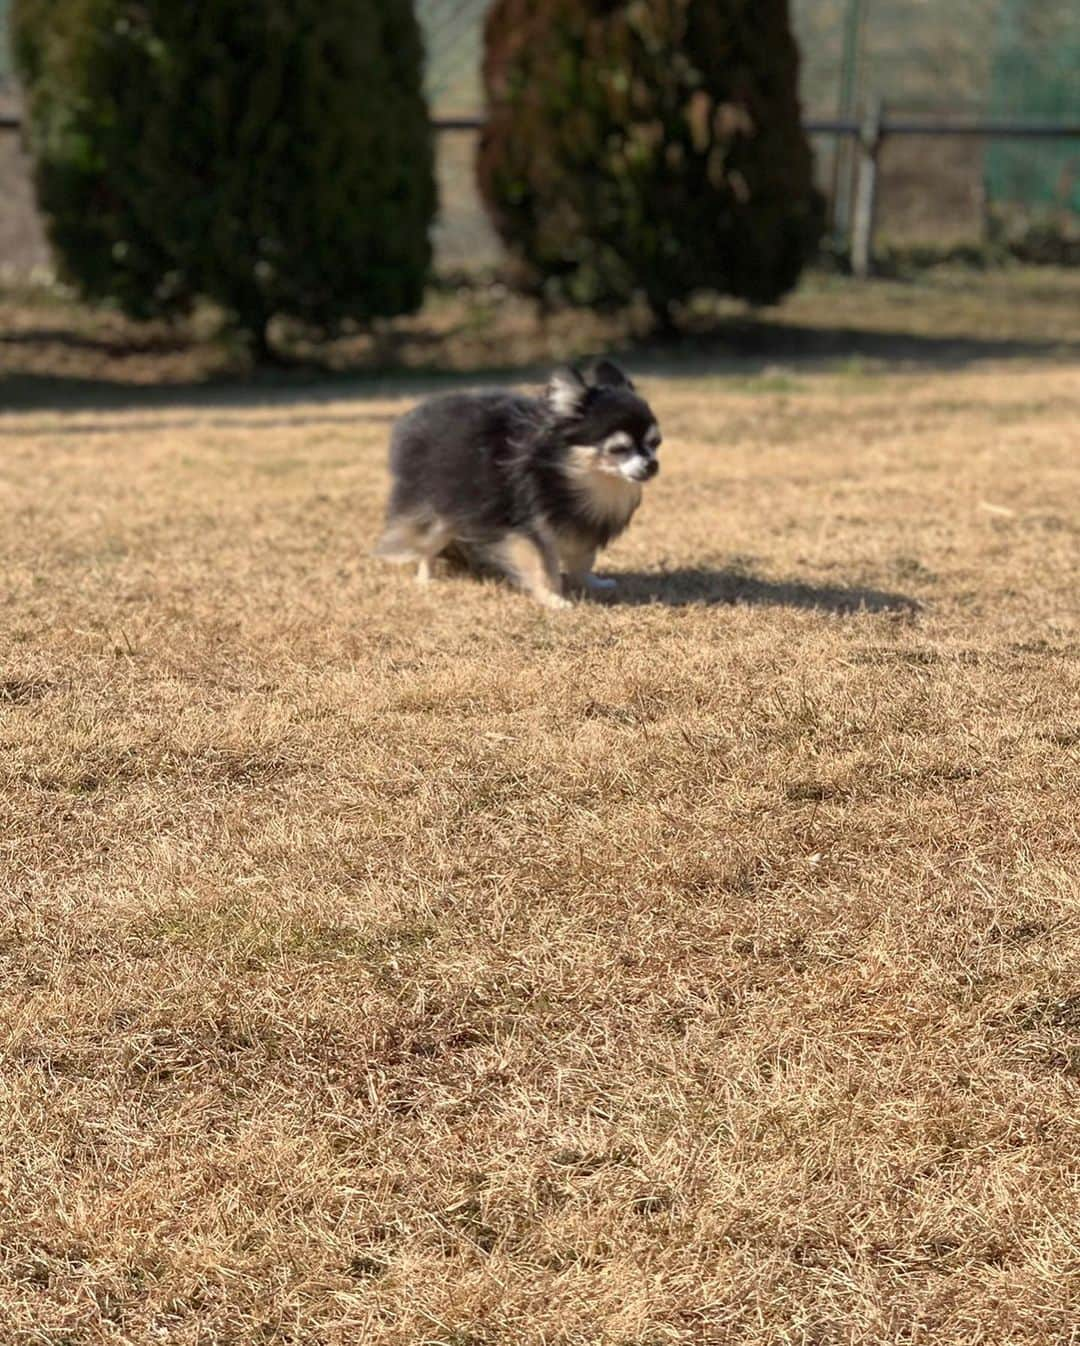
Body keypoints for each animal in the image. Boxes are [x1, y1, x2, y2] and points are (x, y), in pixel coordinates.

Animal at [374, 360, 659, 608]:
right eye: (619, 449)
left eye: (655, 443)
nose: (652, 465)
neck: (571, 474)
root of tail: (413, 418)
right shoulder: (527, 527)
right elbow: (542, 565)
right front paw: (554, 599)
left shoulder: (581, 522)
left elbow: (583, 558)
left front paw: (591, 583)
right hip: (437, 514)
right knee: (426, 547)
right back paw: (426, 579)